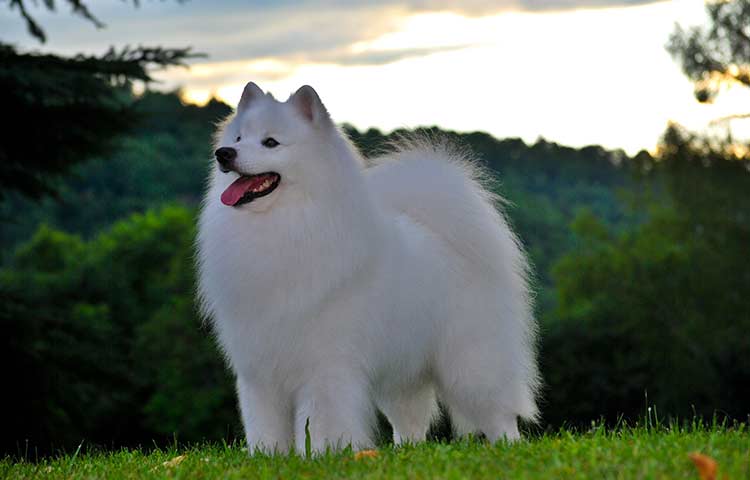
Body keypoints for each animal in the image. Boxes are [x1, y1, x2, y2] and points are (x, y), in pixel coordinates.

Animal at [198, 82, 540, 454]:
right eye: (238, 137)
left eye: (270, 142)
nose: (223, 153)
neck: (283, 225)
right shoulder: (259, 372)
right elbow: (265, 427)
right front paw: (269, 457)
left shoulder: (325, 367)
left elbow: (321, 422)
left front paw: (322, 455)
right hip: (403, 370)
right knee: (411, 422)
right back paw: (406, 452)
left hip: (471, 363)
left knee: (497, 411)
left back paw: (508, 445)